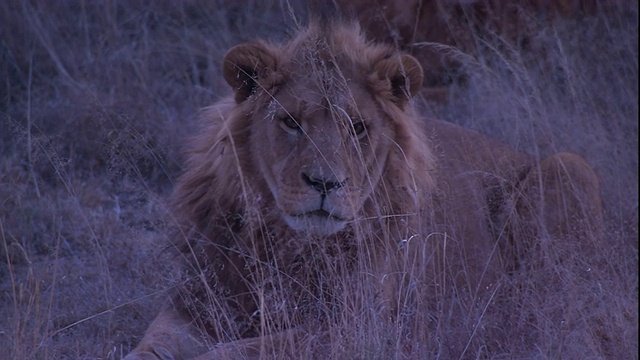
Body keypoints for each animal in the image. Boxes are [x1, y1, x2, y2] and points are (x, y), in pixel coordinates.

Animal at [122, 19, 604, 360]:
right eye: (291, 122)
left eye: (357, 127)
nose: (325, 182)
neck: (286, 243)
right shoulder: (200, 300)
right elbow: (150, 344)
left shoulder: (359, 325)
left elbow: (239, 351)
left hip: (569, 168)